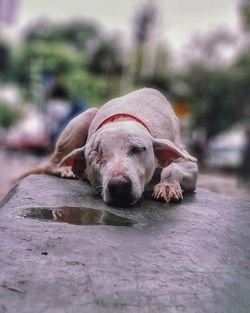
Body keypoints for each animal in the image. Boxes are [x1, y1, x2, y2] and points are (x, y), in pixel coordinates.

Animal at [16, 88, 198, 205]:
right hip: (86, 116)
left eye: (138, 149)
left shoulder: (187, 161)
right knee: (53, 163)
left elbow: (173, 167)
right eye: (96, 155)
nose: (119, 185)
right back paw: (66, 169)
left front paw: (167, 186)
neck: (125, 119)